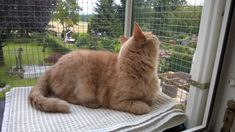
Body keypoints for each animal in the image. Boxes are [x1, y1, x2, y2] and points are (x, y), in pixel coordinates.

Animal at [27, 22, 160, 114]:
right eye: (153, 36)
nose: (157, 35)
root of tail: (53, 66)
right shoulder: (118, 100)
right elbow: (143, 106)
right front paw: (144, 105)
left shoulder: (151, 96)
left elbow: (150, 100)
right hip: (83, 81)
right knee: (68, 97)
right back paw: (93, 103)